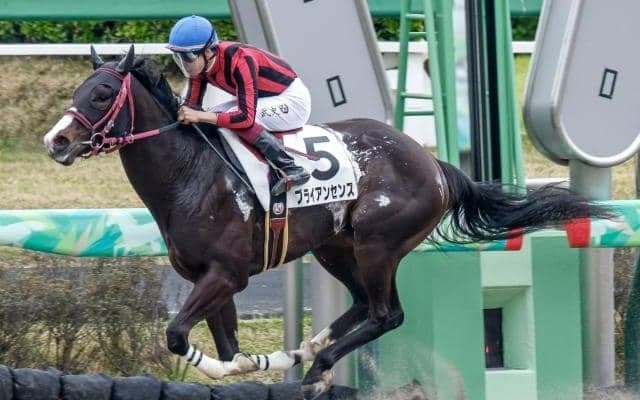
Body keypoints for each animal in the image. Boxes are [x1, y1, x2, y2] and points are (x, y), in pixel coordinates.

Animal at [43, 46, 610, 399]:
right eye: (79, 90)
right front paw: (263, 361)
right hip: (335, 247)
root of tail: (434, 165)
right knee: (361, 303)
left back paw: (317, 368)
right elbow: (224, 347)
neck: (191, 174)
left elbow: (179, 336)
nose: (57, 141)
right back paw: (309, 349)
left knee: (385, 314)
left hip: (379, 245)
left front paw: (259, 363)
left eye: (101, 94)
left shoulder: (228, 274)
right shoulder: (210, 278)